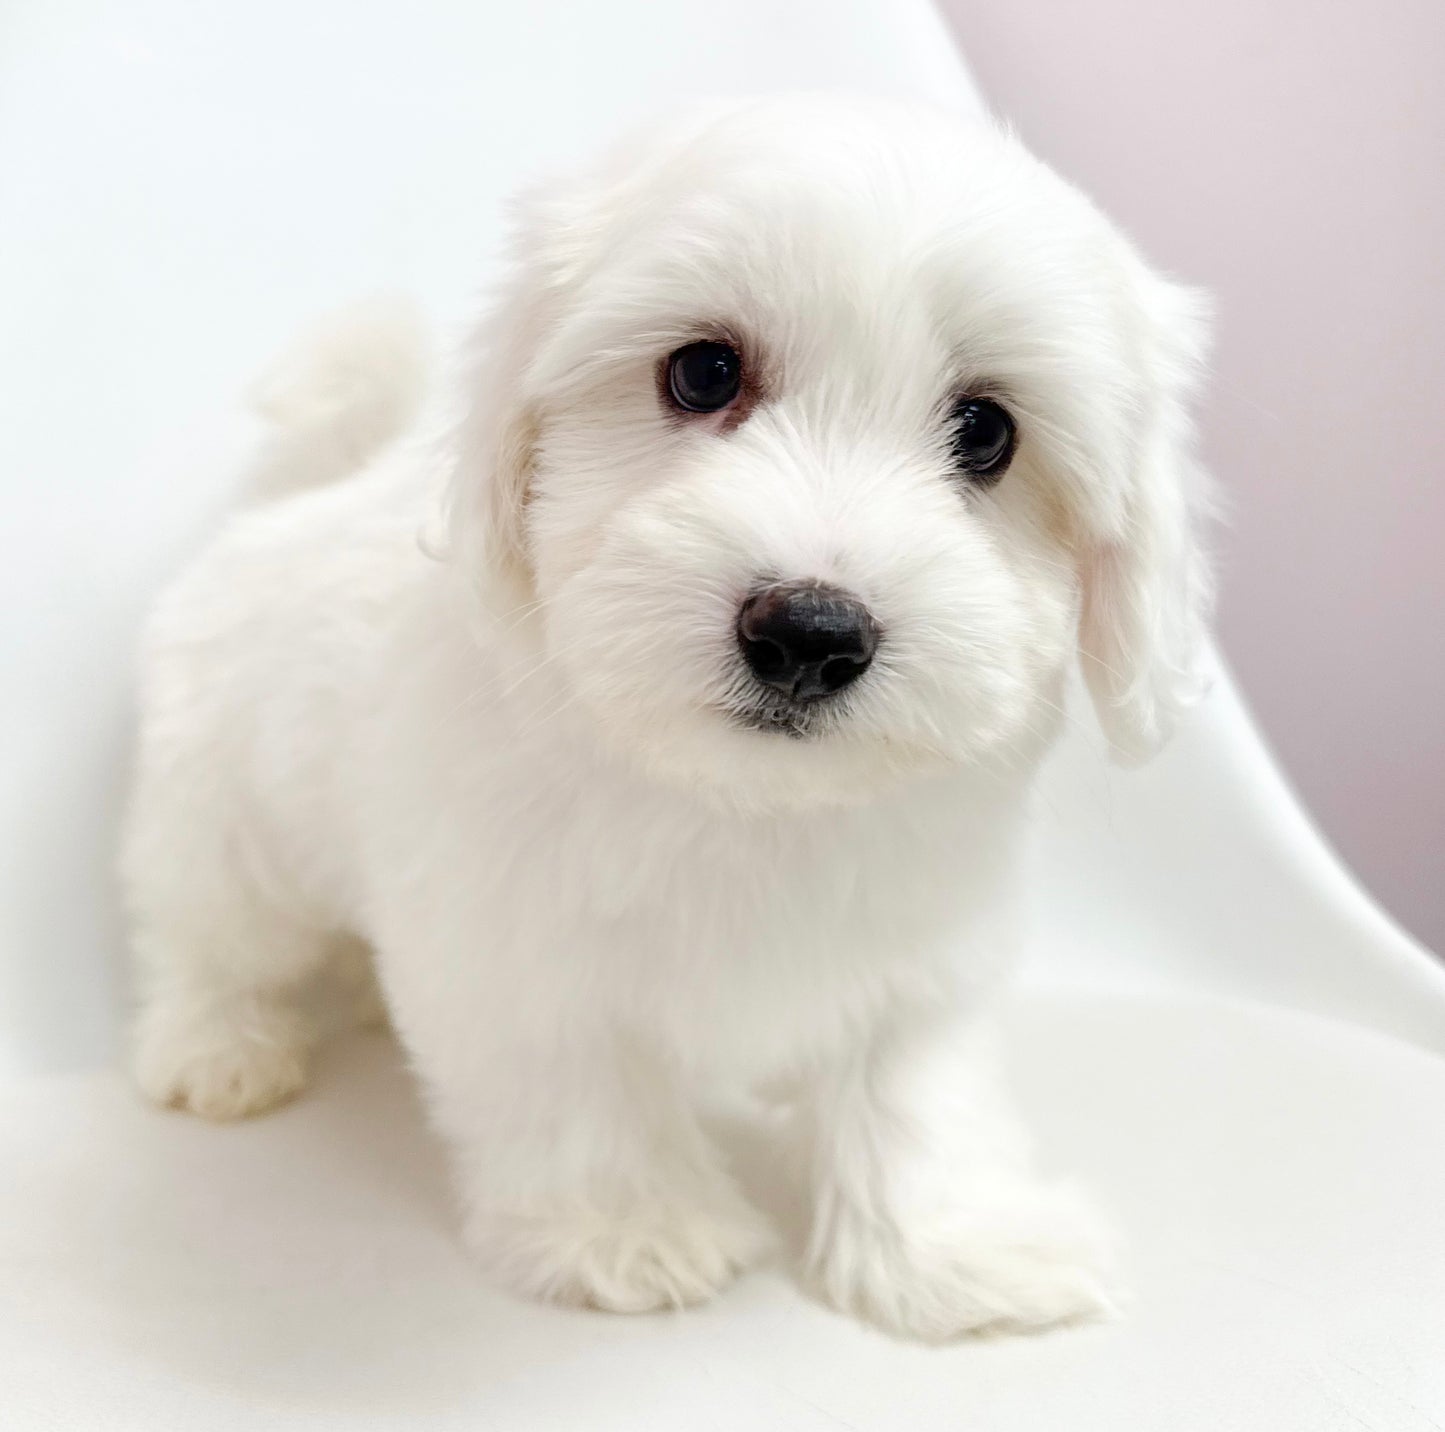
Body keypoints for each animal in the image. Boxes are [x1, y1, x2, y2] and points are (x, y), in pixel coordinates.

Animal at [121, 95, 1208, 1340]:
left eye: (985, 431)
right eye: (700, 371)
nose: (809, 632)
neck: (741, 798)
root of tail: (303, 499)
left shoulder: (924, 949)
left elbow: (916, 1093)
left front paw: (957, 1248)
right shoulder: (512, 951)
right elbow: (576, 1087)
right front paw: (627, 1230)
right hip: (220, 817)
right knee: (208, 934)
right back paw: (219, 1047)